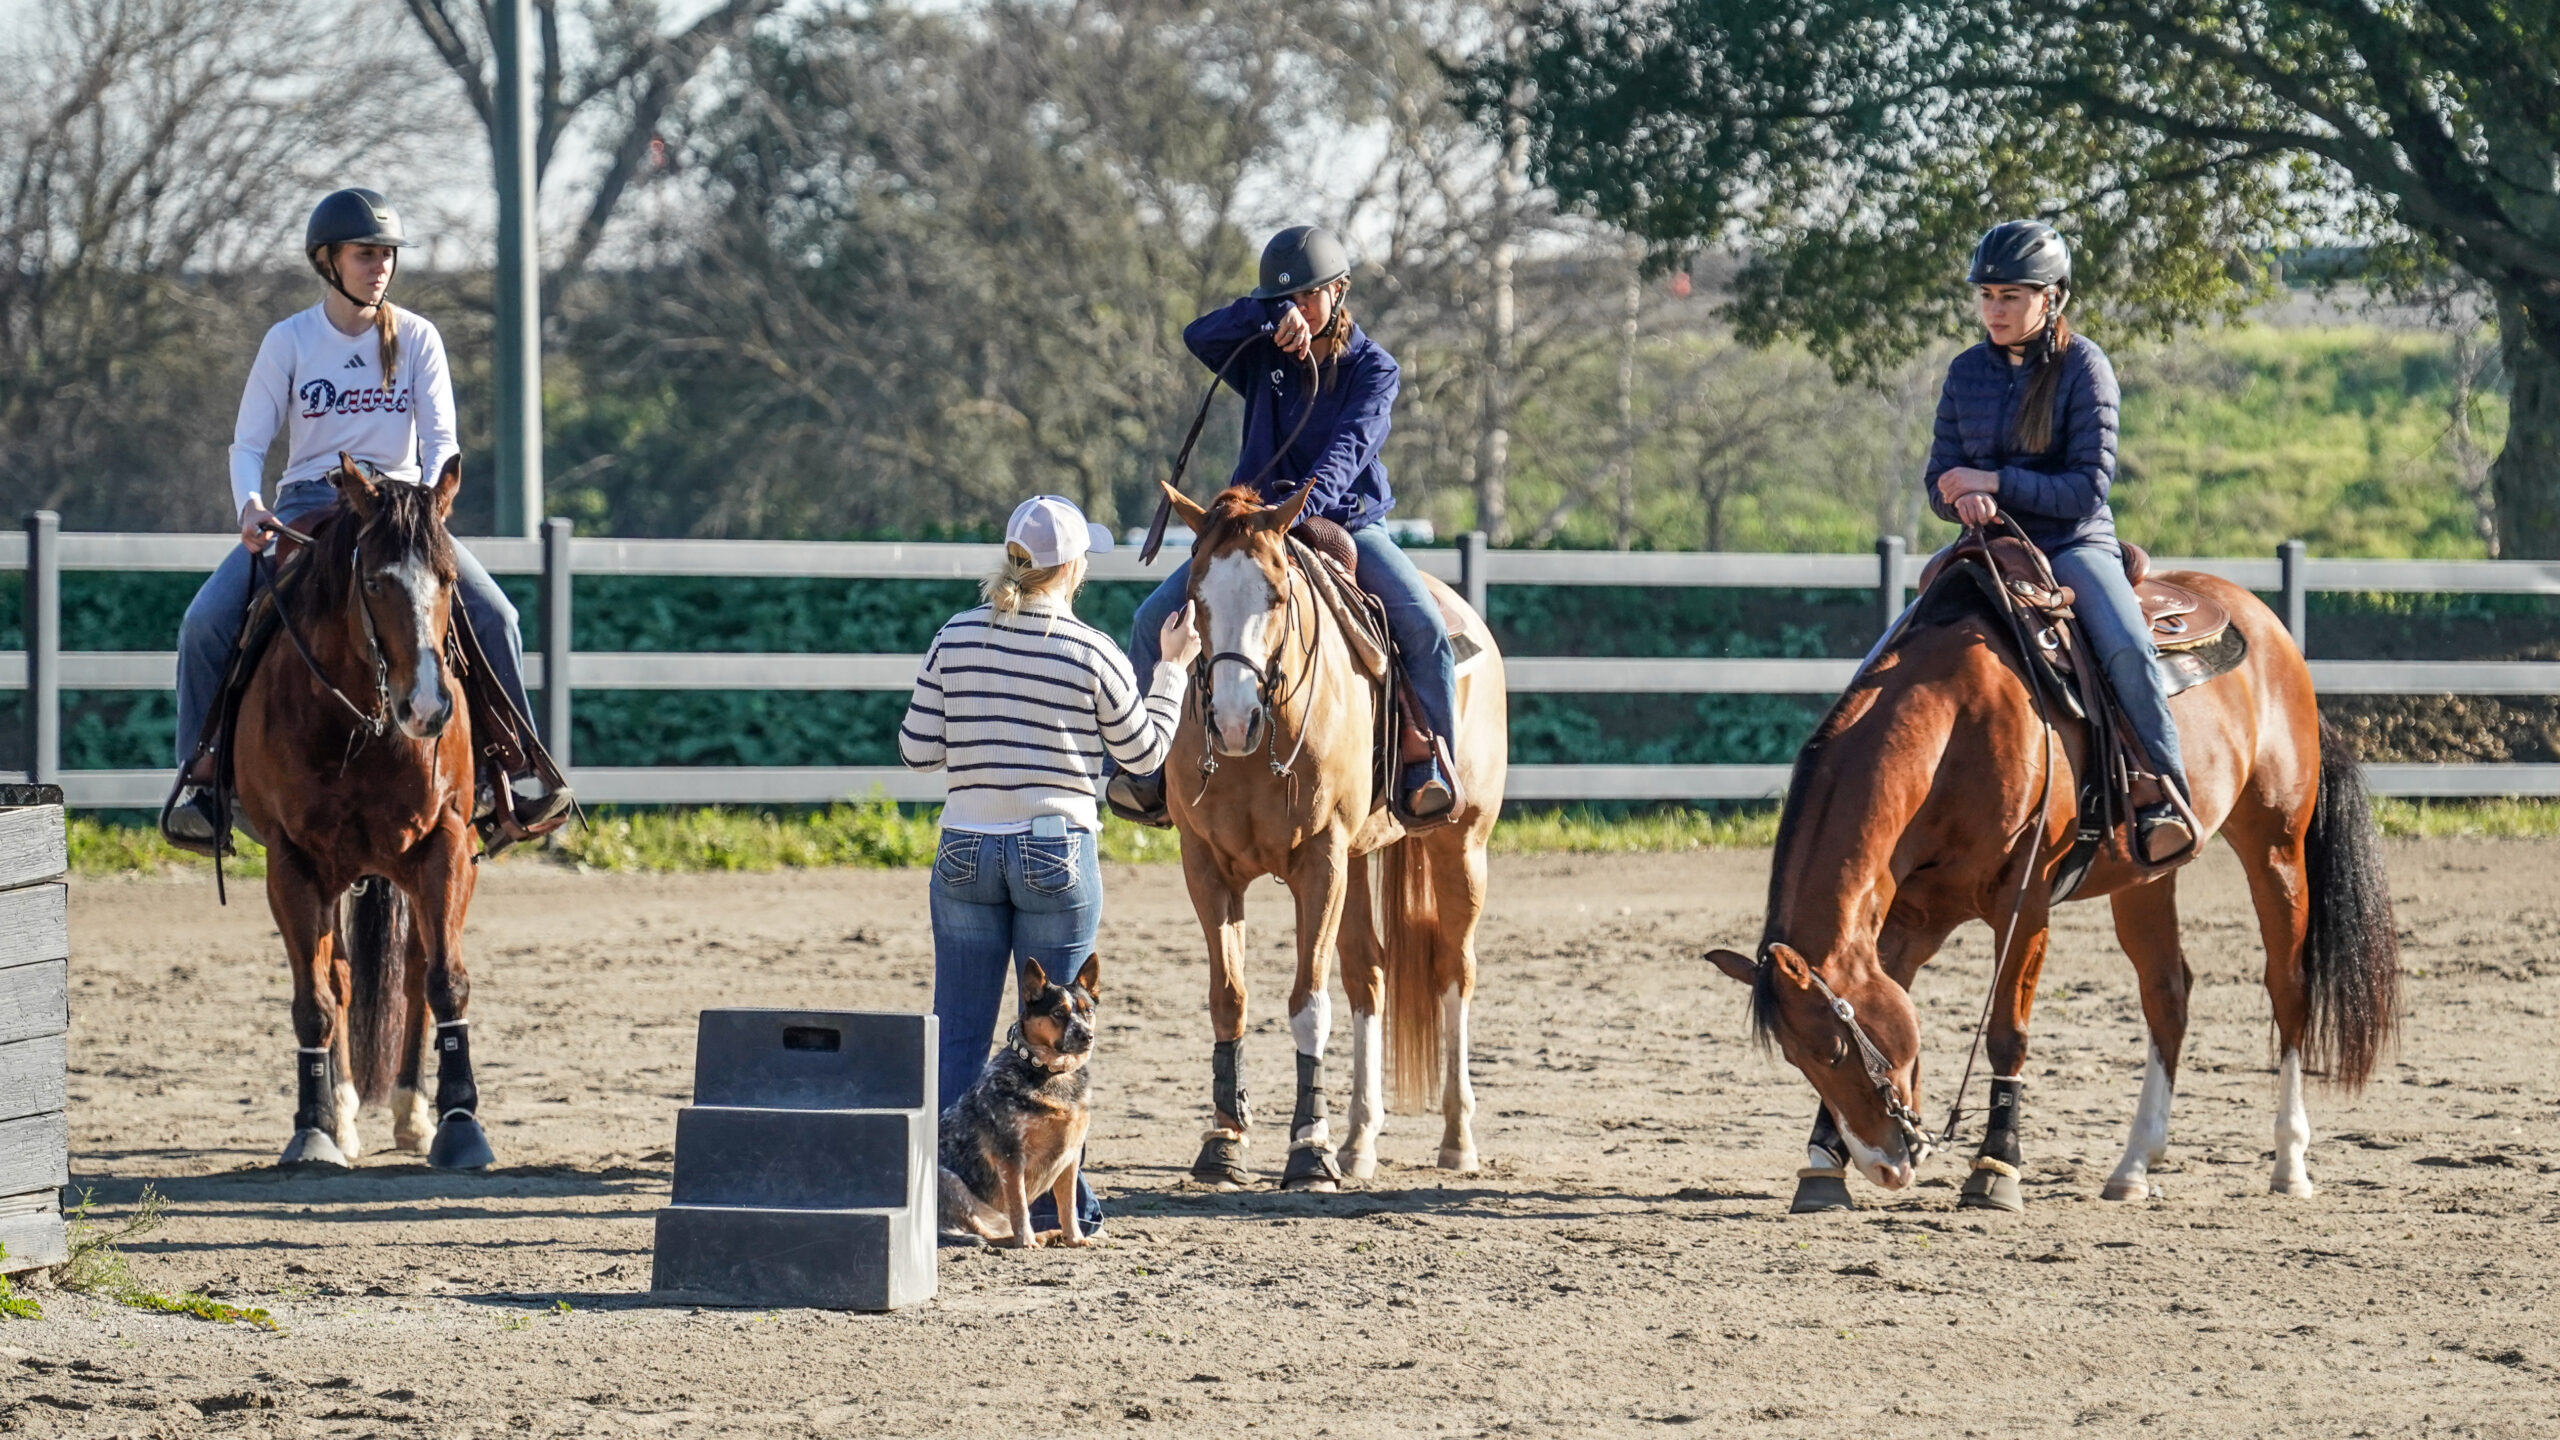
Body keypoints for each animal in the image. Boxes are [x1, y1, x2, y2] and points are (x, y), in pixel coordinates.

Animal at [232, 455, 493, 1171]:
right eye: (374, 581)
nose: (428, 708)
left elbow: (444, 981)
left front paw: (460, 1122)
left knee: (414, 973)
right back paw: (346, 1114)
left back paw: (412, 1114)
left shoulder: (446, 843)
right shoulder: (292, 864)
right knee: (342, 979)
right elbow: (316, 1002)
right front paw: (315, 1127)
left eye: (448, 579)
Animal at [1154, 480, 1508, 1191]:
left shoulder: (1320, 862)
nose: (1231, 720)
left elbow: (1308, 1003)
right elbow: (1229, 997)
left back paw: (1456, 1138)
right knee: (1367, 975)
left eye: (1277, 593)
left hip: (1460, 847)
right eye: (1196, 597)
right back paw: (1359, 1140)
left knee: (1453, 971)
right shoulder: (1206, 864)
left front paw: (1307, 1150)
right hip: (1359, 860)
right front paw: (1224, 1142)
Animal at [1702, 549, 2399, 1211]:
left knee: (2288, 986)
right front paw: (1823, 1165)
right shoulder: (1911, 917)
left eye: (1835, 1052)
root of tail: (2271, 629)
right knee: (2167, 995)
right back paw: (2133, 1168)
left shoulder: (2025, 902)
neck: (1955, 726)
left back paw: (2290, 1163)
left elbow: (2007, 1036)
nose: (1887, 1165)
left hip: (2276, 844)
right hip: (2145, 877)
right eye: (1799, 1057)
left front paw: (1995, 1169)